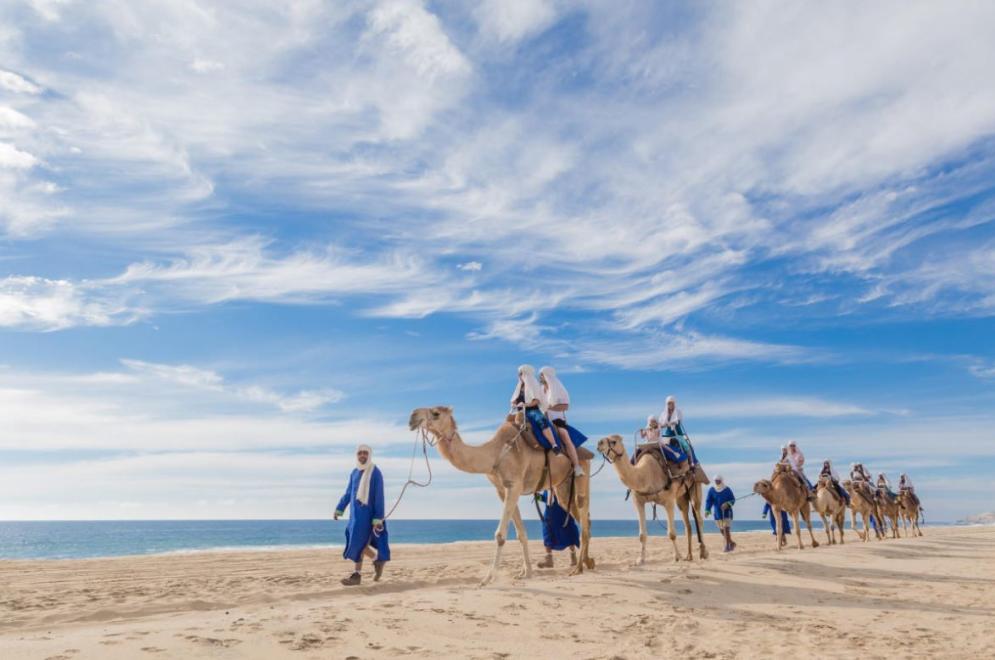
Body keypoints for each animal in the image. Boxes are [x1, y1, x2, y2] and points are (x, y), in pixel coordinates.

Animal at [408, 404, 596, 584]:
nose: (412, 417)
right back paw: (588, 562)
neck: (496, 454)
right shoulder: (502, 490)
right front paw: (526, 573)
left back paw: (578, 568)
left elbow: (500, 535)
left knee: (583, 513)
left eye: (436, 413)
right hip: (562, 486)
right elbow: (521, 533)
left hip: (582, 472)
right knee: (581, 516)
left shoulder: (514, 486)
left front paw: (488, 579)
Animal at [596, 436, 704, 564]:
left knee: (698, 515)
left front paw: (677, 557)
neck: (647, 474)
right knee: (687, 521)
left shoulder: (668, 501)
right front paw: (640, 559)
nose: (599, 443)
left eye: (613, 441)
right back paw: (689, 556)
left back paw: (704, 553)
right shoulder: (638, 501)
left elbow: (672, 533)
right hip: (681, 497)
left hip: (696, 484)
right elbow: (642, 535)